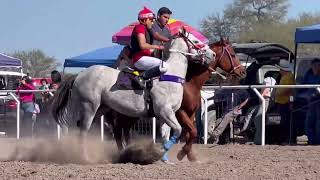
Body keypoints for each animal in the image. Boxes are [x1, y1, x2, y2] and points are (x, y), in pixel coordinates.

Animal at [52, 31, 215, 160]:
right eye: (195, 41)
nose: (212, 54)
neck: (171, 75)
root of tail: (79, 75)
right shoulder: (165, 111)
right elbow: (178, 130)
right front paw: (160, 153)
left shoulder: (166, 115)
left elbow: (166, 135)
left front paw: (165, 159)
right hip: (88, 107)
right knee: (82, 132)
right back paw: (84, 157)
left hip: (99, 109)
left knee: (76, 127)